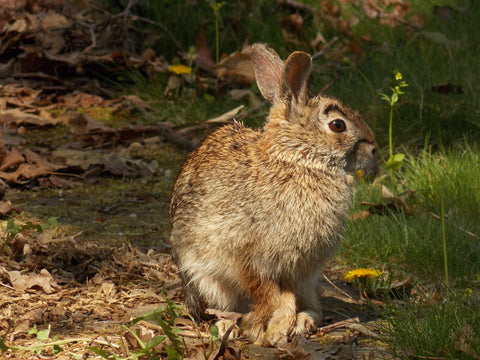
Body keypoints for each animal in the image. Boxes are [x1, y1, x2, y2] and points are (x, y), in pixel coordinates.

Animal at [170, 42, 378, 346]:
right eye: (338, 125)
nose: (374, 149)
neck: (296, 160)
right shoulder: (246, 257)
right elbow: (269, 295)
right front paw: (264, 330)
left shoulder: (295, 268)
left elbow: (284, 298)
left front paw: (278, 328)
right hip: (206, 279)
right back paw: (229, 326)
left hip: (308, 279)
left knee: (311, 305)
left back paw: (302, 322)